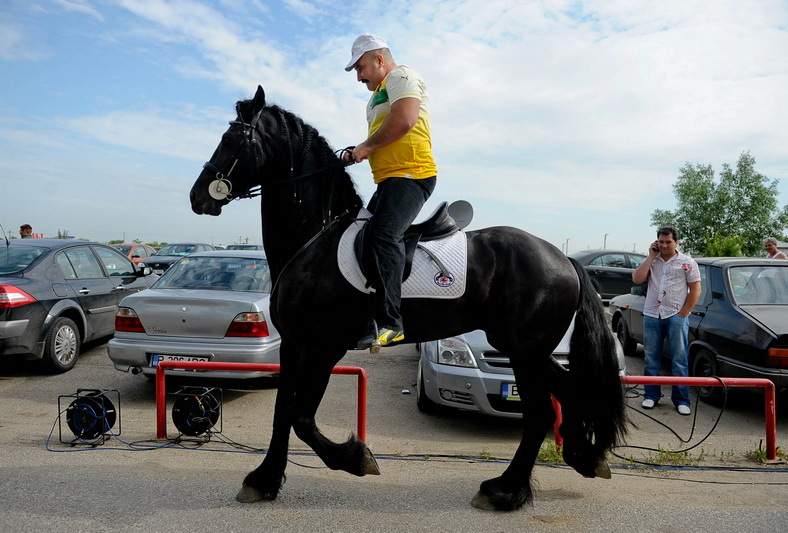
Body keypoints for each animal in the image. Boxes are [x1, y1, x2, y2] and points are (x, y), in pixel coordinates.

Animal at [188, 85, 624, 510]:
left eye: (230, 139)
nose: (198, 197)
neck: (316, 238)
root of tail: (564, 259)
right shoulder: (296, 345)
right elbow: (284, 412)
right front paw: (265, 480)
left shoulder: (322, 346)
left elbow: (300, 417)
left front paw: (353, 459)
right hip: (525, 349)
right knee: (569, 393)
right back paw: (585, 457)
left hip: (524, 351)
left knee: (539, 413)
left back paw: (505, 490)